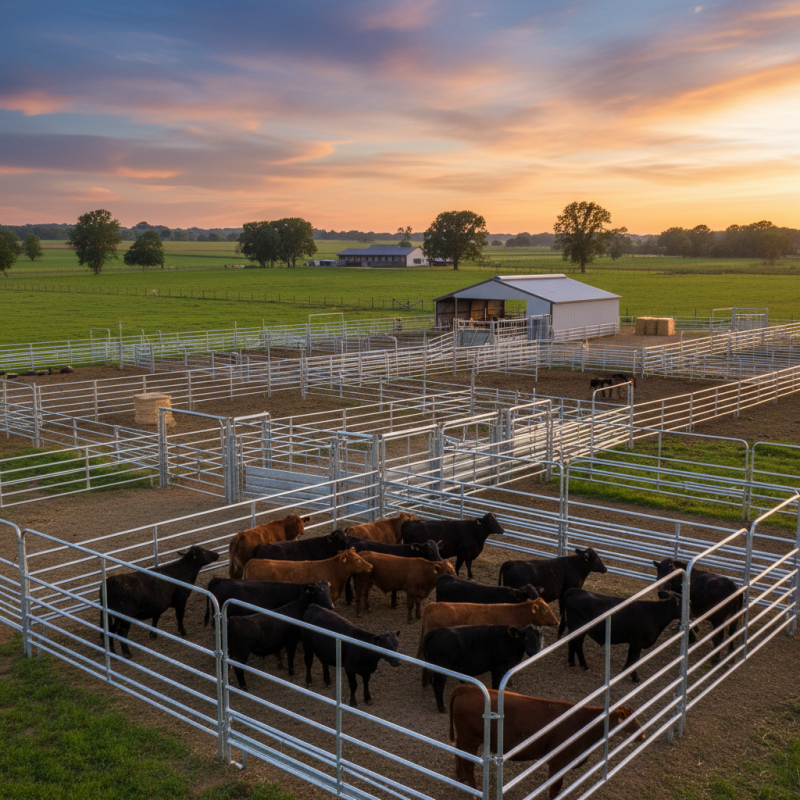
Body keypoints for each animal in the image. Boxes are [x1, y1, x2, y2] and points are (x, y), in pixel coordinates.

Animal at [449, 686, 645, 795]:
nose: (643, 736)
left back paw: (459, 776)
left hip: (464, 737)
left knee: (458, 751)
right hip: (471, 739)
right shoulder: (558, 761)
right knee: (469, 764)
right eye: (629, 720)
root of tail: (468, 688)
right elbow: (555, 787)